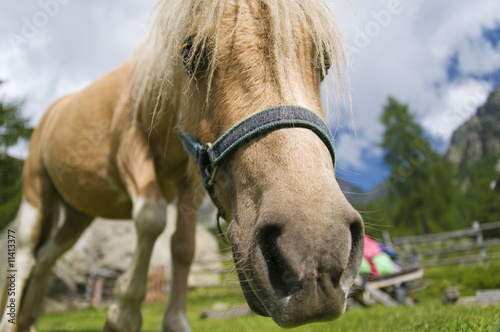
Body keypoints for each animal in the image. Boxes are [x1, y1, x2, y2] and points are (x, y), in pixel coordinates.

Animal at [2, 0, 364, 330]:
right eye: (190, 55)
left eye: (325, 62)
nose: (313, 256)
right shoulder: (130, 150)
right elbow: (151, 219)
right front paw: (123, 313)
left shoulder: (192, 183)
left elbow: (183, 247)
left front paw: (174, 320)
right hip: (37, 198)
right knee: (27, 255)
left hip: (79, 214)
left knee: (46, 257)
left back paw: (28, 321)